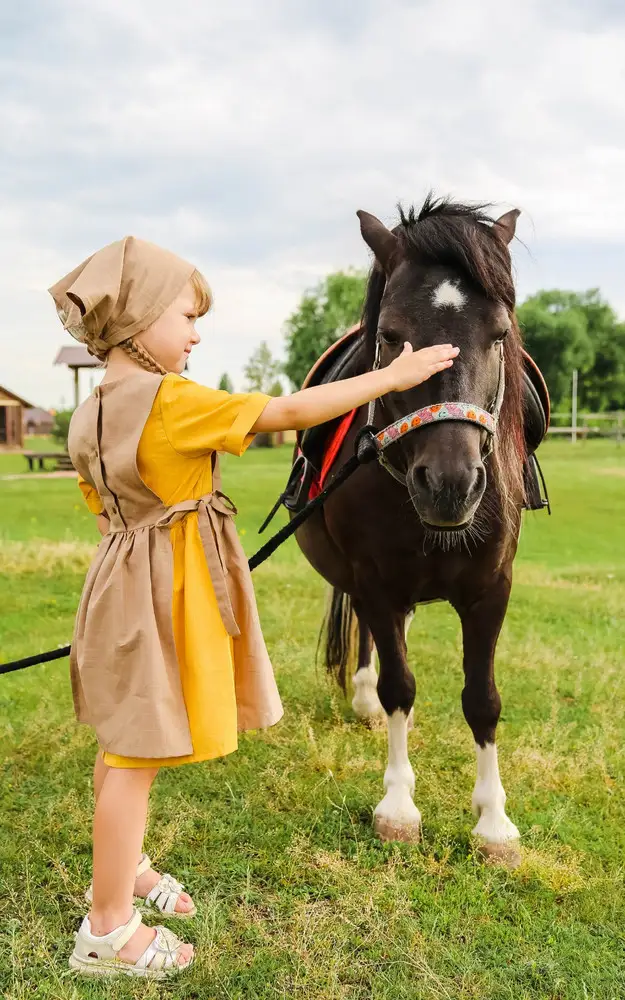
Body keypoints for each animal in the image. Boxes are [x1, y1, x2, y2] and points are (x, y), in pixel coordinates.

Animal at [296, 197, 528, 868]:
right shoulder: (376, 582)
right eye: (391, 336)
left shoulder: (491, 589)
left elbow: (483, 698)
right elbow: (400, 685)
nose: (449, 483)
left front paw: (494, 823)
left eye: (499, 334)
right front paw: (398, 808)